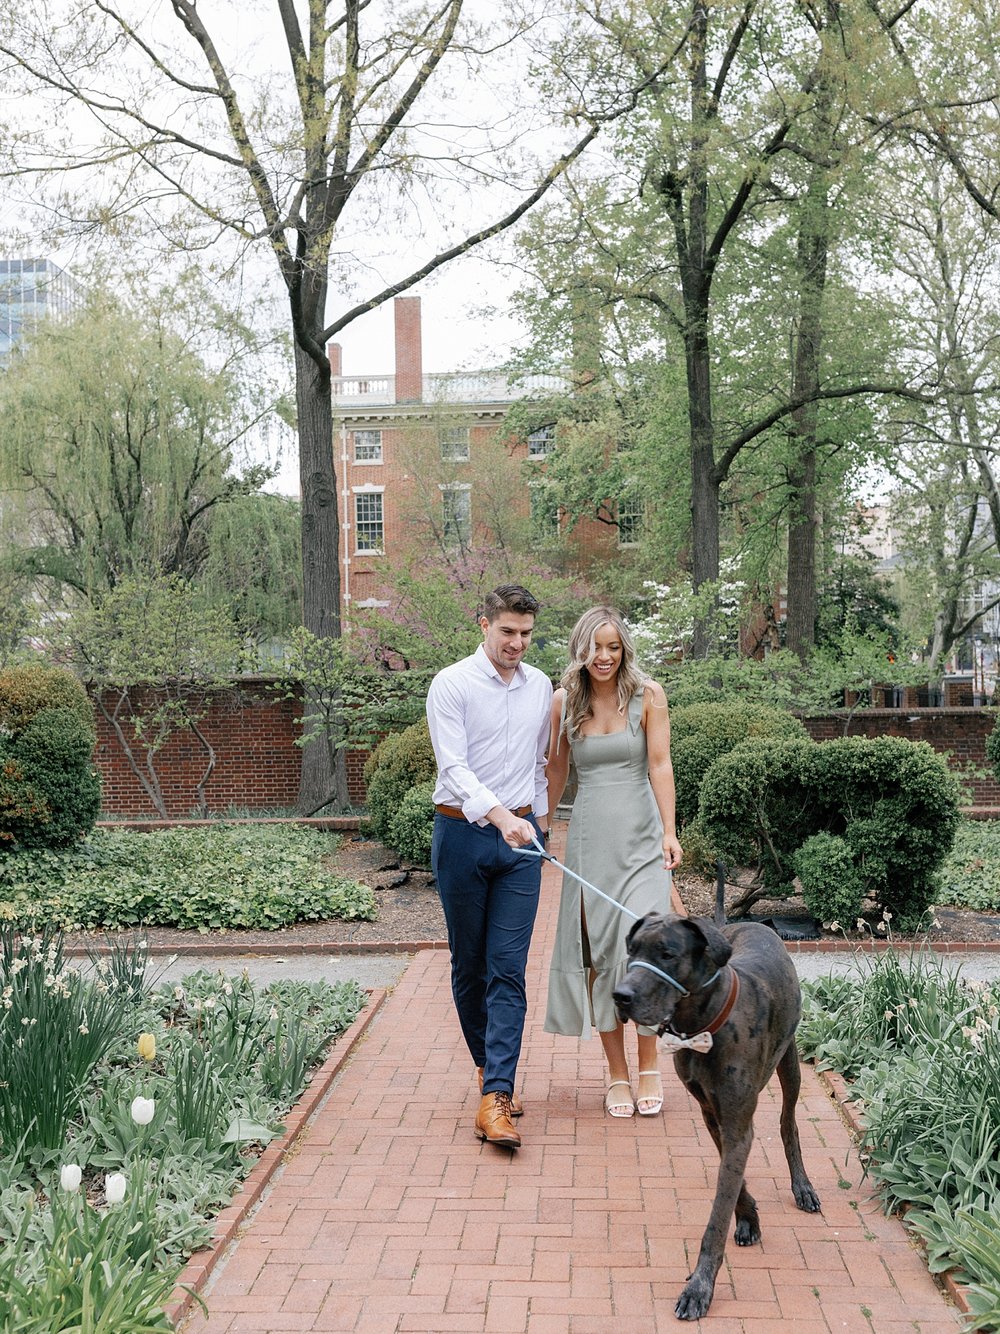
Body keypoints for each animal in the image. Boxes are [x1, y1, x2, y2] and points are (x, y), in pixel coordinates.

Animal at [618, 864, 821, 1323]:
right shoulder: (714, 1114)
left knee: (788, 1123)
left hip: (790, 1061)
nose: (620, 995)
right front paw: (748, 1218)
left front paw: (699, 1287)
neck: (705, 1024)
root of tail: (746, 922)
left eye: (667, 954)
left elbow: (716, 1216)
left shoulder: (737, 1121)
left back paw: (802, 1185)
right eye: (631, 948)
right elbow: (734, 1183)